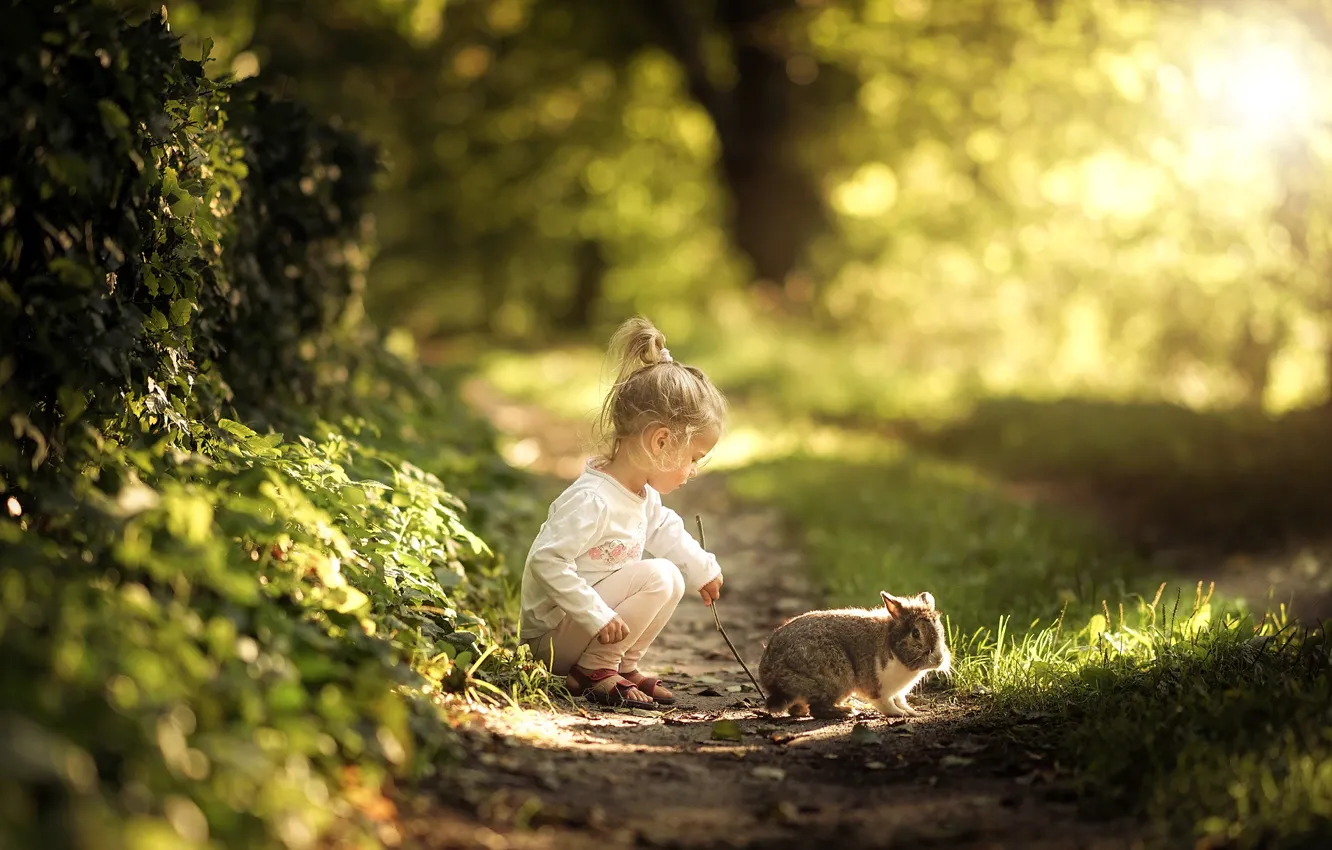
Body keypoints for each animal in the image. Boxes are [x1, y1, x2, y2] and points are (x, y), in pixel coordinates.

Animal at [758, 590, 951, 719]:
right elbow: (886, 704)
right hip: (836, 679)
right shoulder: (878, 688)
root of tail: (771, 679)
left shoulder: (898, 692)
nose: (939, 659)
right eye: (916, 633)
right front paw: (901, 714)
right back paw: (847, 711)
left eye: (940, 629)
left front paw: (911, 711)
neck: (891, 644)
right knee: (817, 708)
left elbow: (900, 699)